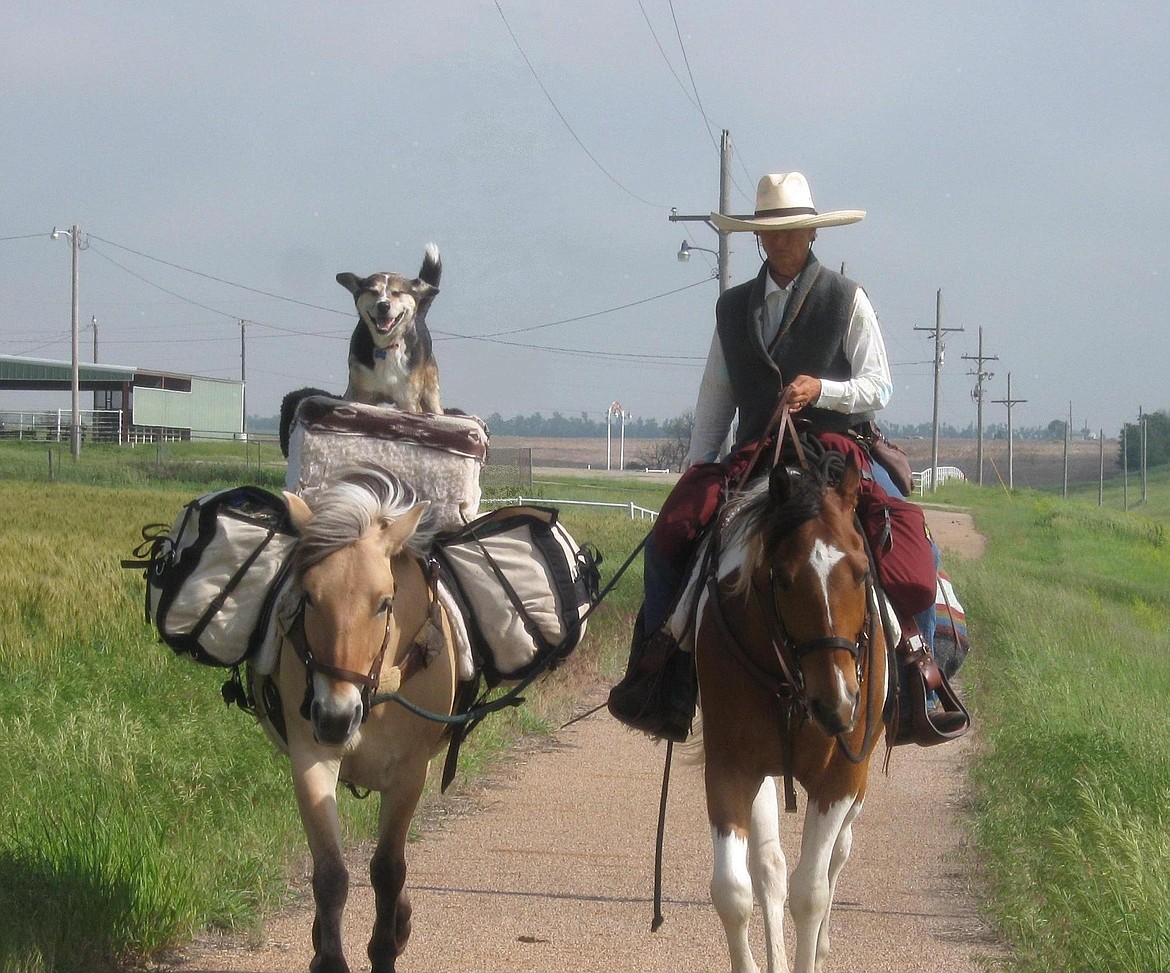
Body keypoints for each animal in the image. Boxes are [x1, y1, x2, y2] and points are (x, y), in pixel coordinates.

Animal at [251, 472, 456, 973]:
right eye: (307, 597)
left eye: (384, 603)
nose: (334, 717)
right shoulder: (312, 759)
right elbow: (330, 873)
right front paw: (328, 956)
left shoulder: (410, 774)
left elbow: (387, 868)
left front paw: (384, 948)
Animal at [341, 243, 446, 413]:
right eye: (373, 291)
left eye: (397, 292)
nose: (383, 305)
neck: (385, 347)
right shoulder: (360, 393)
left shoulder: (408, 400)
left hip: (431, 394)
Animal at [687, 451, 889, 973]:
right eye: (782, 578)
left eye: (862, 572)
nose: (838, 703)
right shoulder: (731, 767)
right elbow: (734, 890)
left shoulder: (841, 778)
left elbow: (811, 893)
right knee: (770, 867)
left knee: (838, 854)